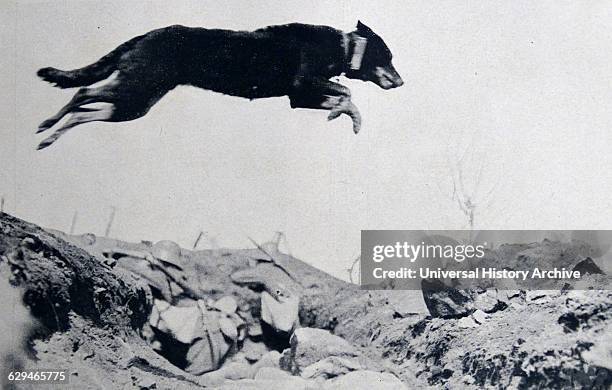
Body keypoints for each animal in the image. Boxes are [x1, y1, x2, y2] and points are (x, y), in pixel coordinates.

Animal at [35, 21, 404, 149]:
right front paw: (341, 112)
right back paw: (46, 124)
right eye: (387, 56)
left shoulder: (298, 97)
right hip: (137, 86)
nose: (401, 82)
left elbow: (347, 98)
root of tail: (146, 35)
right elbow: (346, 91)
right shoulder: (304, 83)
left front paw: (349, 118)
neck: (343, 46)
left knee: (86, 109)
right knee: (82, 93)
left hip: (136, 102)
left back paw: (50, 136)